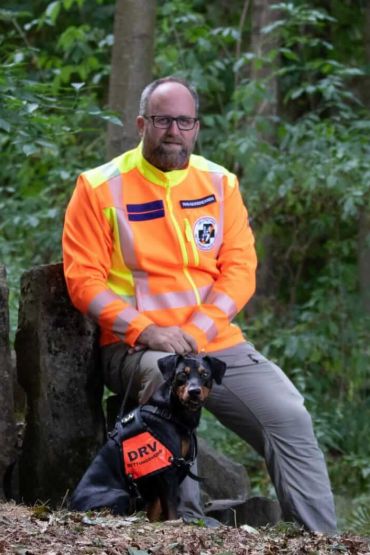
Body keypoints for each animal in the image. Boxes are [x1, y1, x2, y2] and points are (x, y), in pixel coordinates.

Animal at [69, 356, 225, 520]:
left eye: (205, 374)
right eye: (182, 374)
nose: (194, 391)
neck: (171, 412)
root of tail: (71, 507)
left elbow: (155, 512)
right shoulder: (168, 472)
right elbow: (171, 511)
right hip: (120, 495)